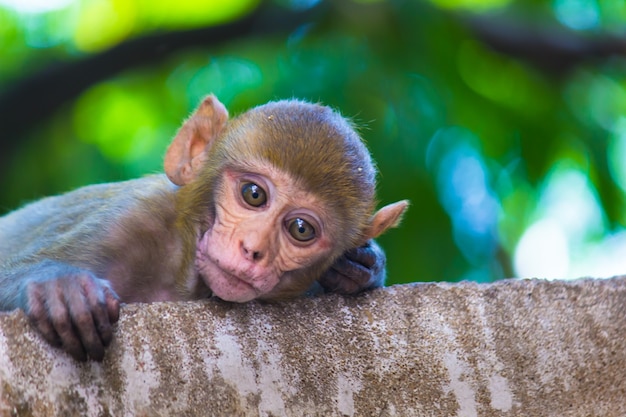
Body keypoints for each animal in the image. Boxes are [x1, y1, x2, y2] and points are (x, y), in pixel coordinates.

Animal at [0, 93, 404, 358]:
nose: (252, 249)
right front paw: (59, 287)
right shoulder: (128, 220)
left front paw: (361, 266)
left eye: (301, 229)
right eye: (254, 194)